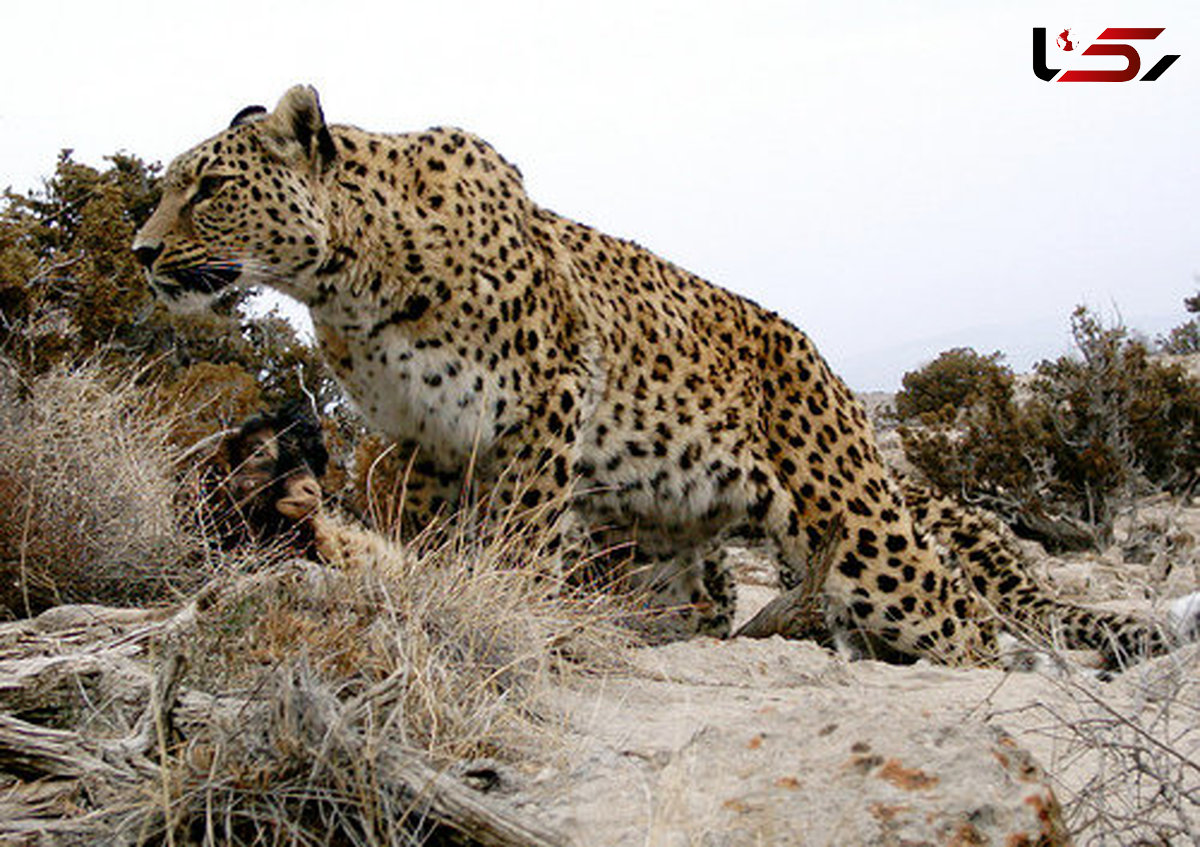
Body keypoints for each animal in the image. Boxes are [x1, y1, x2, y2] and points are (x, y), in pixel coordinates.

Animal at [136, 85, 1185, 667]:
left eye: (210, 187)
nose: (143, 251)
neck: (351, 278)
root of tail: (826, 365)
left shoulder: (544, 401)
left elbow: (518, 534)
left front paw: (506, 611)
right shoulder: (420, 438)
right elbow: (425, 536)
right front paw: (433, 598)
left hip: (856, 524)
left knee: (962, 612)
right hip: (665, 541)